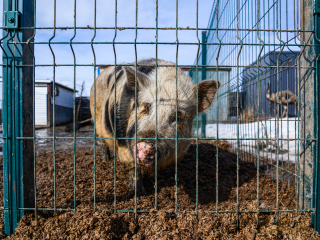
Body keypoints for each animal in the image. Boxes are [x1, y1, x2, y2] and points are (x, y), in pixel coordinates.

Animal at [90, 59, 220, 194]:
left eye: (178, 116)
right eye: (146, 107)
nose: (146, 145)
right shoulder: (122, 140)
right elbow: (132, 165)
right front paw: (139, 192)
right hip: (95, 117)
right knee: (101, 140)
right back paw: (106, 159)